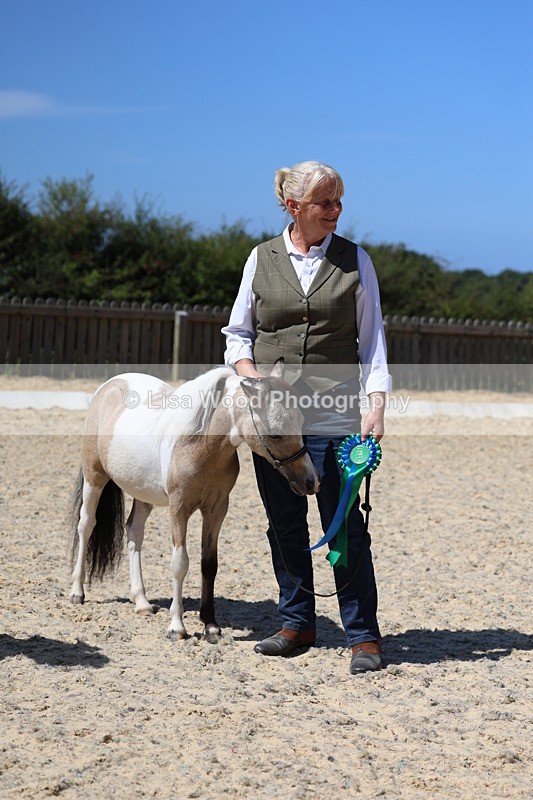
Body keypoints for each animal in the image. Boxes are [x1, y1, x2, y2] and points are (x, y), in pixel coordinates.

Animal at [69, 360, 320, 642]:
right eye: (275, 434)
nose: (311, 481)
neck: (199, 445)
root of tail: (109, 385)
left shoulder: (216, 509)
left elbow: (209, 564)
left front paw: (210, 625)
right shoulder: (179, 509)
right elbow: (180, 563)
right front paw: (177, 627)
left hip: (142, 493)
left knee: (134, 533)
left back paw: (142, 602)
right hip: (94, 478)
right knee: (86, 525)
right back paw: (77, 592)